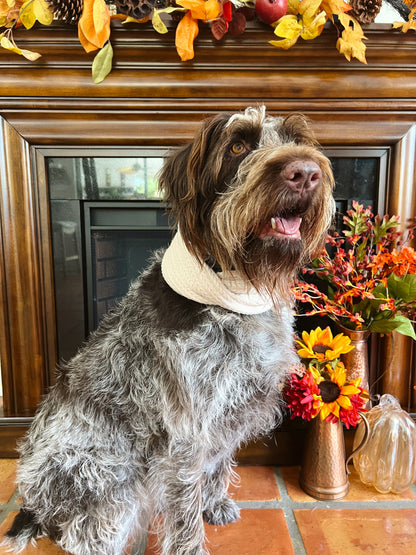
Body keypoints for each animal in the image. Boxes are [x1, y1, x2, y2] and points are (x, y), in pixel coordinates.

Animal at [3, 106, 334, 552]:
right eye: (237, 146)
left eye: (296, 140)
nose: (305, 172)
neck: (233, 296)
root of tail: (32, 505)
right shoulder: (186, 434)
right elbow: (185, 511)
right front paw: (192, 540)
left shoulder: (228, 416)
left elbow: (217, 464)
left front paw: (215, 504)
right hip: (107, 479)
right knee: (81, 534)